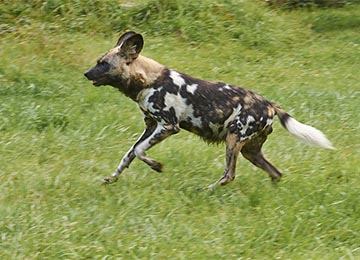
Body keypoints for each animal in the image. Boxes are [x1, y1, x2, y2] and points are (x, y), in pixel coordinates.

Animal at [83, 31, 334, 188]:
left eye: (103, 64)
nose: (85, 73)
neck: (148, 80)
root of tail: (270, 105)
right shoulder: (151, 126)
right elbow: (129, 154)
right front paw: (111, 179)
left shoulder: (168, 126)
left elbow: (138, 151)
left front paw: (157, 166)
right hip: (249, 150)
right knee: (276, 173)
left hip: (233, 140)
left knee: (229, 175)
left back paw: (206, 190)